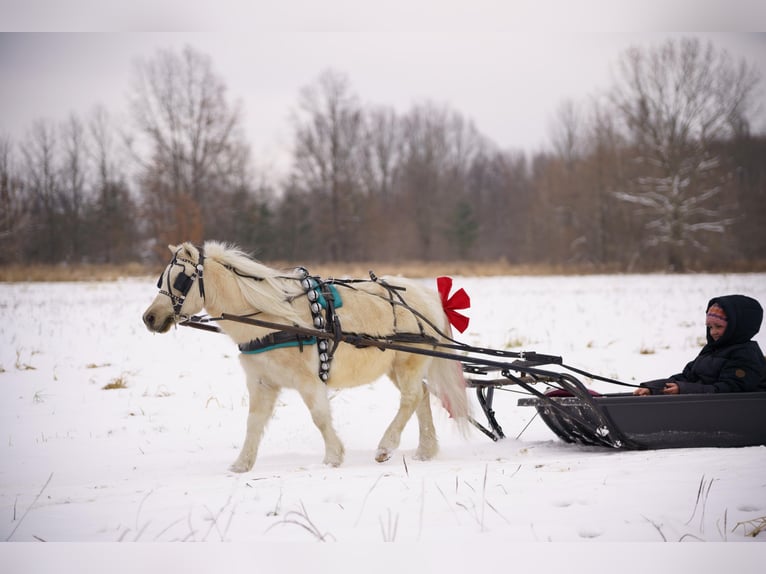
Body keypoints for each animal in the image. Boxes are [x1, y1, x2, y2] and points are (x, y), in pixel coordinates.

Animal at [142, 241, 470, 472]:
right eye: (162, 279)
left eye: (180, 279)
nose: (149, 317)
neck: (271, 318)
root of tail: (428, 296)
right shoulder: (262, 382)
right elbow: (254, 423)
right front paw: (241, 464)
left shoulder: (308, 380)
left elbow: (320, 417)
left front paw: (333, 457)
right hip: (397, 365)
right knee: (423, 395)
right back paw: (425, 450)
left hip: (408, 362)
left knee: (411, 398)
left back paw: (386, 446)